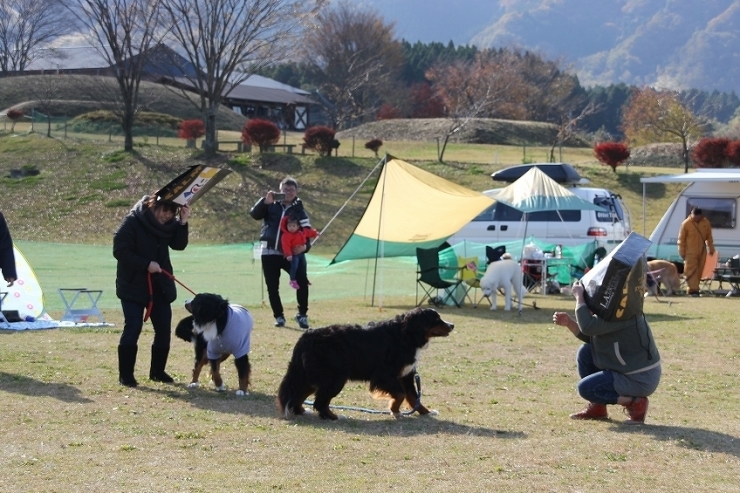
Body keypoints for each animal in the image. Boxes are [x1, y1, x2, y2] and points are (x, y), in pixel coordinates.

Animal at [276, 308, 450, 418]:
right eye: (436, 319)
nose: (452, 325)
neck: (406, 335)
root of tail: (306, 336)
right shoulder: (384, 375)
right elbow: (401, 394)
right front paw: (395, 411)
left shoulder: (406, 375)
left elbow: (414, 398)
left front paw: (427, 412)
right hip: (335, 378)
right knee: (320, 401)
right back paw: (332, 416)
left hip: (311, 376)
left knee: (299, 394)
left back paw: (302, 410)